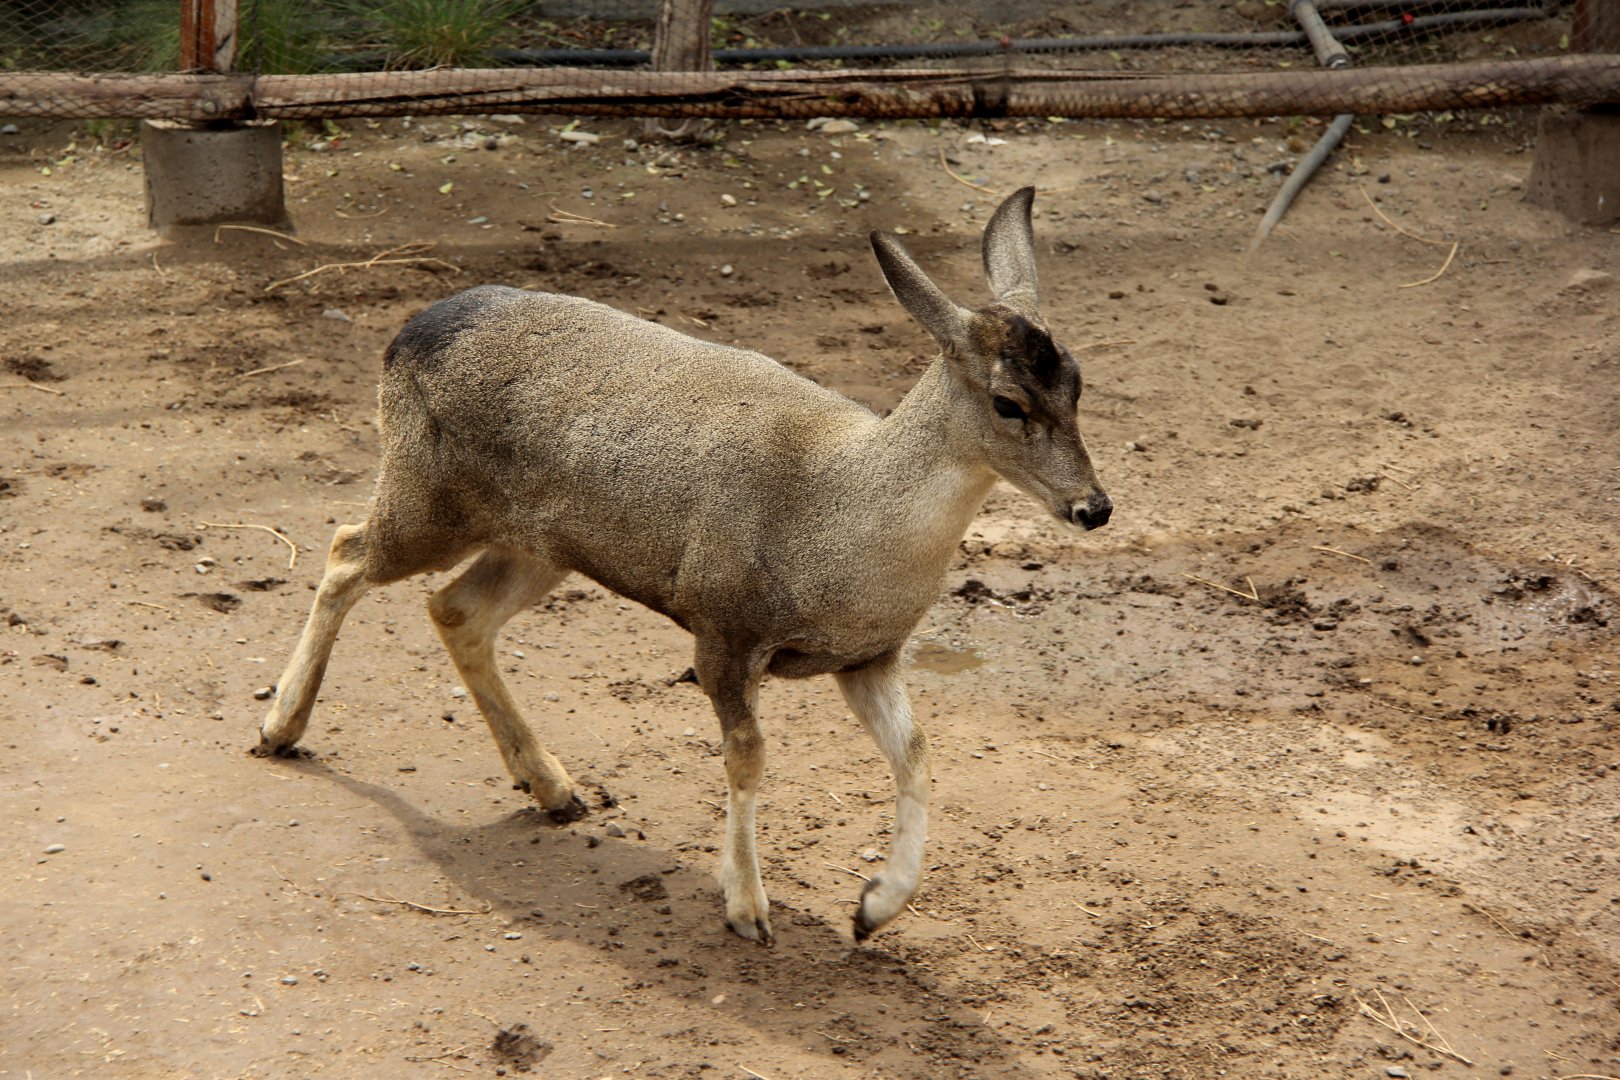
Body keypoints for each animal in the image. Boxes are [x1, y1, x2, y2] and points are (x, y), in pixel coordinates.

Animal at [256, 186, 1112, 946]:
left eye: (1077, 383)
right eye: (1008, 403)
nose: (1093, 507)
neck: (834, 529)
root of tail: (408, 333)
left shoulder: (868, 653)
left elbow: (918, 756)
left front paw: (874, 907)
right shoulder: (723, 624)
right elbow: (749, 756)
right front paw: (747, 907)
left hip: (540, 544)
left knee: (455, 609)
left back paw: (552, 786)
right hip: (429, 496)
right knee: (345, 549)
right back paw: (280, 727)